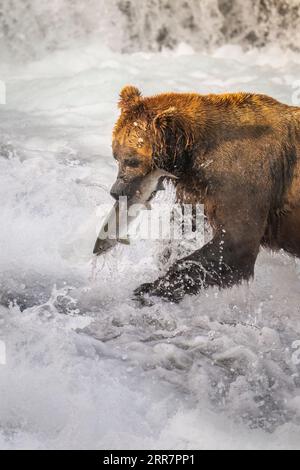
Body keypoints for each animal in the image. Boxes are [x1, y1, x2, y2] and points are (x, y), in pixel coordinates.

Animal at [110, 86, 300, 302]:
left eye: (132, 160)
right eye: (116, 155)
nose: (116, 191)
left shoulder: (244, 178)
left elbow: (237, 241)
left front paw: (148, 288)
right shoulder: (197, 191)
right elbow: (185, 227)